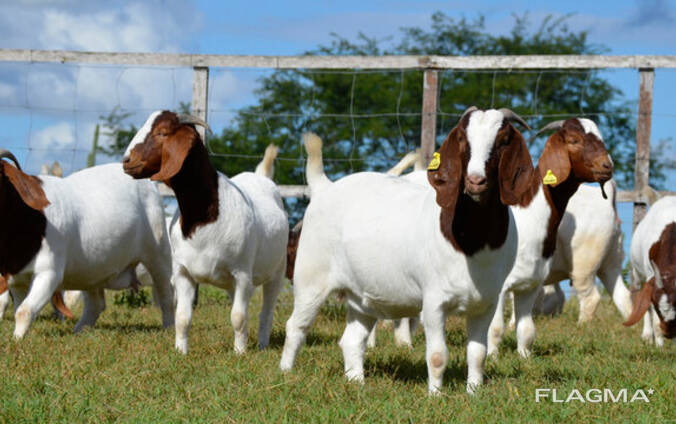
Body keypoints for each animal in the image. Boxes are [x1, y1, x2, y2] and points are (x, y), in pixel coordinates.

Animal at [0, 151, 174, 338]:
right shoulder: (15, 278)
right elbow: (18, 307)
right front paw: (17, 337)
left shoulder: (49, 272)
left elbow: (24, 311)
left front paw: (17, 340)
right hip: (92, 269)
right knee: (95, 304)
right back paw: (79, 331)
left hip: (158, 251)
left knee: (166, 293)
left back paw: (169, 327)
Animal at [123, 111, 288, 354]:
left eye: (162, 132)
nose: (126, 161)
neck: (203, 217)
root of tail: (260, 177)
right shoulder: (183, 272)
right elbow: (182, 317)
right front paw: (180, 352)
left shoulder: (242, 273)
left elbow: (239, 317)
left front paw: (239, 353)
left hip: (277, 270)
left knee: (265, 311)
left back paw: (262, 345)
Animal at [280, 107, 533, 394]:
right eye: (461, 140)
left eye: (503, 141)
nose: (475, 180)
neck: (472, 242)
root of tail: (325, 187)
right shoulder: (434, 301)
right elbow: (437, 355)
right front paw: (435, 395)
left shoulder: (486, 302)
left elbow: (478, 354)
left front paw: (474, 393)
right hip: (311, 277)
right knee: (296, 325)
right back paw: (286, 373)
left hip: (360, 296)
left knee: (352, 339)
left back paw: (357, 382)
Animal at [486, 118, 614, 358]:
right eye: (573, 140)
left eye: (601, 138)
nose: (607, 166)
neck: (527, 217)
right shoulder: (498, 286)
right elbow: (494, 327)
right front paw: (492, 357)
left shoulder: (531, 282)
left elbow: (527, 329)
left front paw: (524, 358)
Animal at [623, 196, 676, 345]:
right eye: (658, 307)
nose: (669, 334)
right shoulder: (650, 275)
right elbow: (650, 311)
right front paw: (659, 344)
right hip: (638, 274)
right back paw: (647, 335)